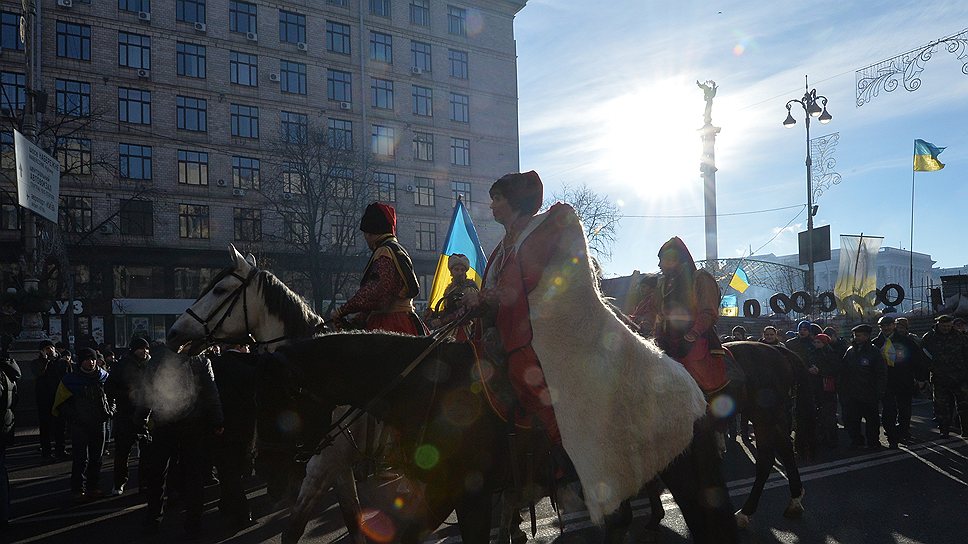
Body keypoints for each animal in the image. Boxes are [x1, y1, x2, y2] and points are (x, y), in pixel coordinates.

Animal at [166, 246, 366, 544]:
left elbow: (294, 528)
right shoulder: (338, 462)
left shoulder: (325, 462)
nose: (173, 333)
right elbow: (352, 518)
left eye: (220, 289)